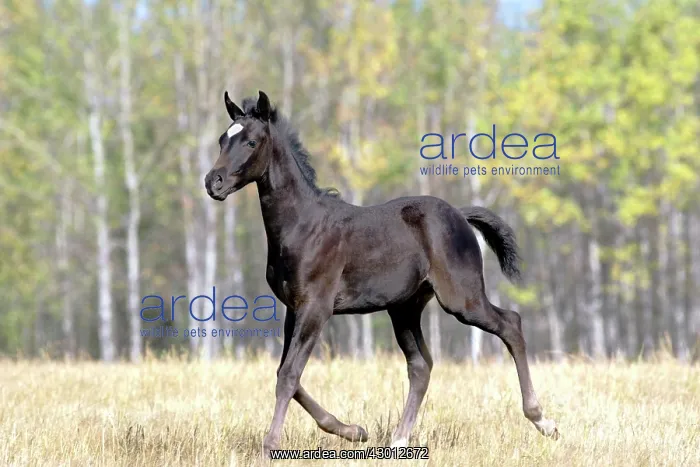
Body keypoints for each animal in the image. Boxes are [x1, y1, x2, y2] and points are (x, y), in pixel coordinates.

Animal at [205, 90, 559, 457]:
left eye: (251, 142)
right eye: (222, 140)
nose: (213, 182)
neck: (302, 226)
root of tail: (460, 216)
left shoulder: (316, 308)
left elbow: (289, 375)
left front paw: (271, 445)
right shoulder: (294, 309)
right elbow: (286, 373)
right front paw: (353, 431)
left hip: (462, 299)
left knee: (510, 324)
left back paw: (542, 420)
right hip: (405, 308)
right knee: (421, 365)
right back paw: (399, 438)